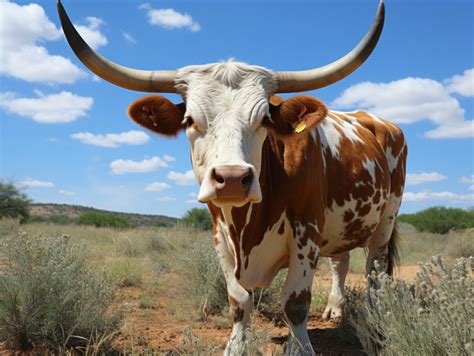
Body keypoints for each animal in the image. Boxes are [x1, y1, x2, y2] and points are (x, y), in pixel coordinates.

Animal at [59, 0, 408, 354]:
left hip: (386, 220)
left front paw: (299, 347)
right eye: (189, 120)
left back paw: (376, 321)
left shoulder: (306, 231)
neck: (247, 227)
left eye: (265, 118)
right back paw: (335, 309)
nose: (231, 177)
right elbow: (239, 300)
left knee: (376, 272)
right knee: (341, 261)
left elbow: (295, 303)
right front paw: (236, 345)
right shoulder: (220, 235)